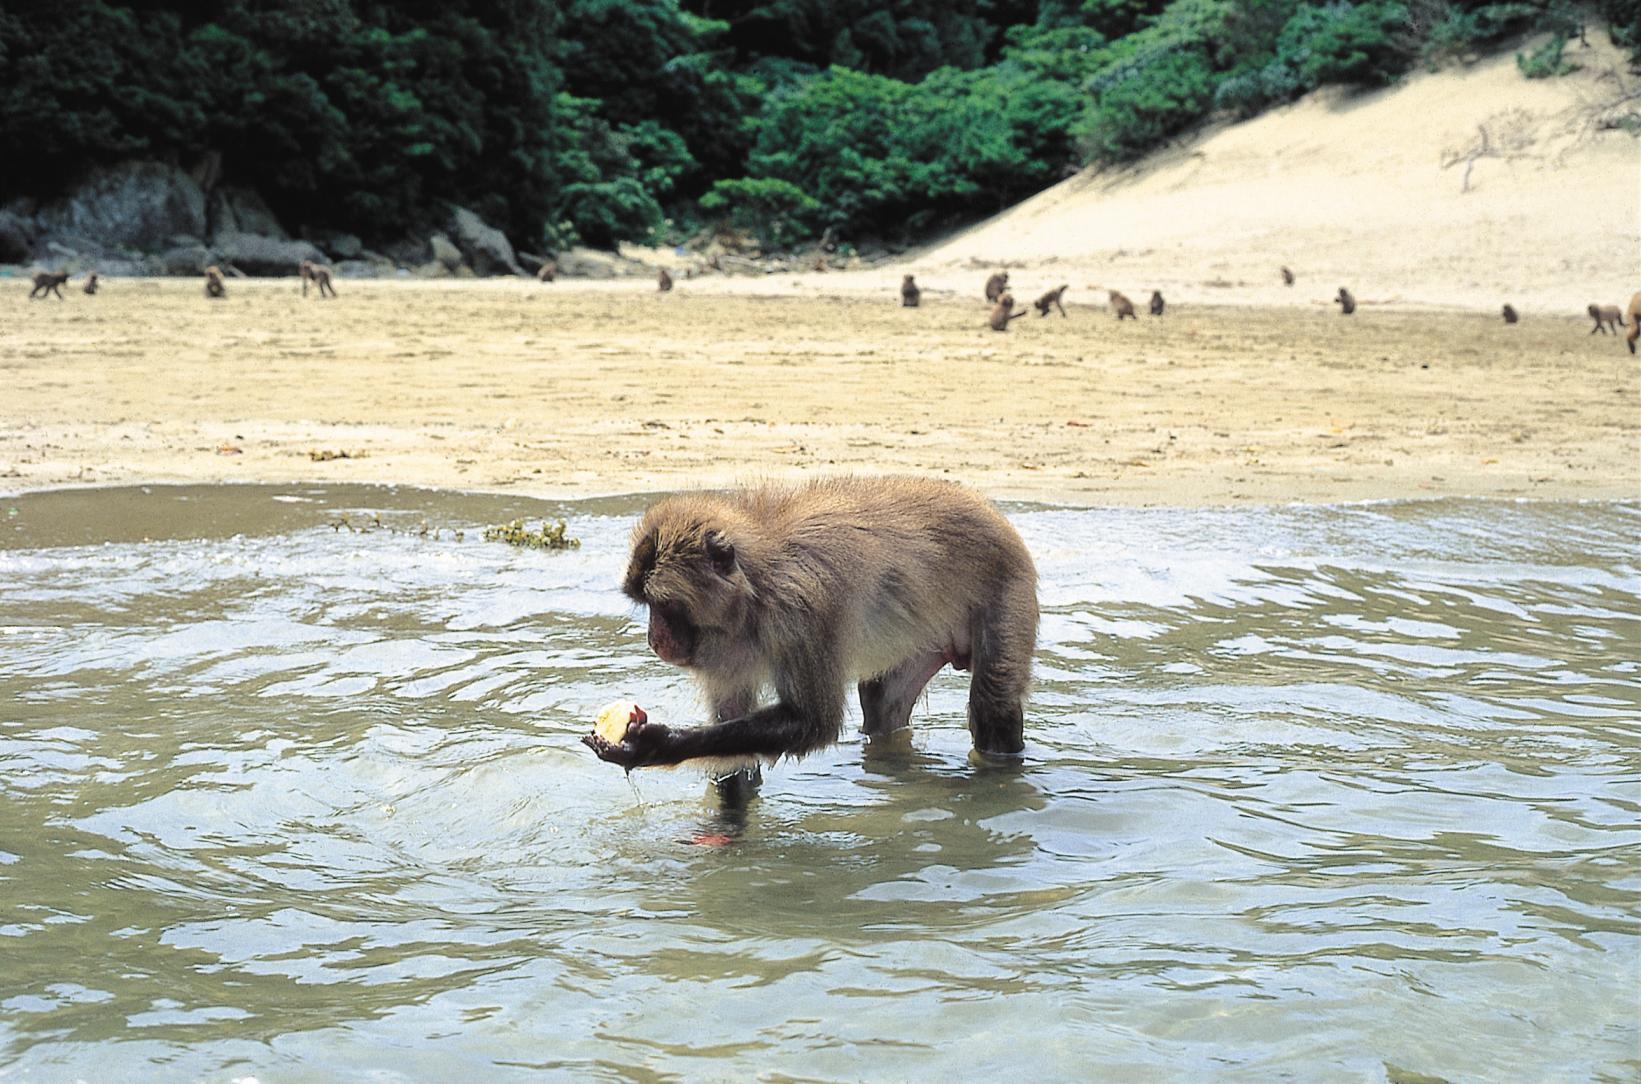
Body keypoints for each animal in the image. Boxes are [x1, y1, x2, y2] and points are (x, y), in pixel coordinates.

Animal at [580, 478, 1037, 800]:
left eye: (666, 606)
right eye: (648, 605)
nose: (654, 639)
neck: (755, 594)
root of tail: (992, 512)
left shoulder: (803, 612)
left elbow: (813, 722)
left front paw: (658, 745)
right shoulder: (720, 650)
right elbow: (735, 742)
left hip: (1008, 590)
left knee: (993, 707)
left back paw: (996, 784)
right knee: (880, 701)